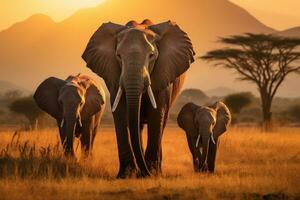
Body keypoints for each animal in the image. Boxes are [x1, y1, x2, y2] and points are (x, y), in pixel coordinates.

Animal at [81, 19, 195, 177]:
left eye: (151, 56)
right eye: (118, 56)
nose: (145, 172)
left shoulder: (163, 74)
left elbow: (157, 115)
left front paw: (151, 173)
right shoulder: (114, 76)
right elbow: (120, 114)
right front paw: (125, 175)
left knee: (162, 122)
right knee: (138, 125)